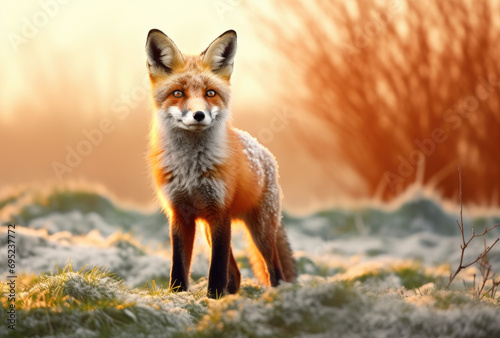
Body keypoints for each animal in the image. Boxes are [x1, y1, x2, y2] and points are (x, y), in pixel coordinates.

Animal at [145, 29, 294, 298]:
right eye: (178, 93)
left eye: (210, 93)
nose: (199, 115)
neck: (191, 170)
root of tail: (266, 153)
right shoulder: (179, 214)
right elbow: (178, 265)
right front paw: (179, 296)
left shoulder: (220, 212)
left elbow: (217, 267)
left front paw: (213, 297)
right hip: (208, 229)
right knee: (236, 274)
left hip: (260, 231)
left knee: (274, 269)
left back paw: (275, 295)